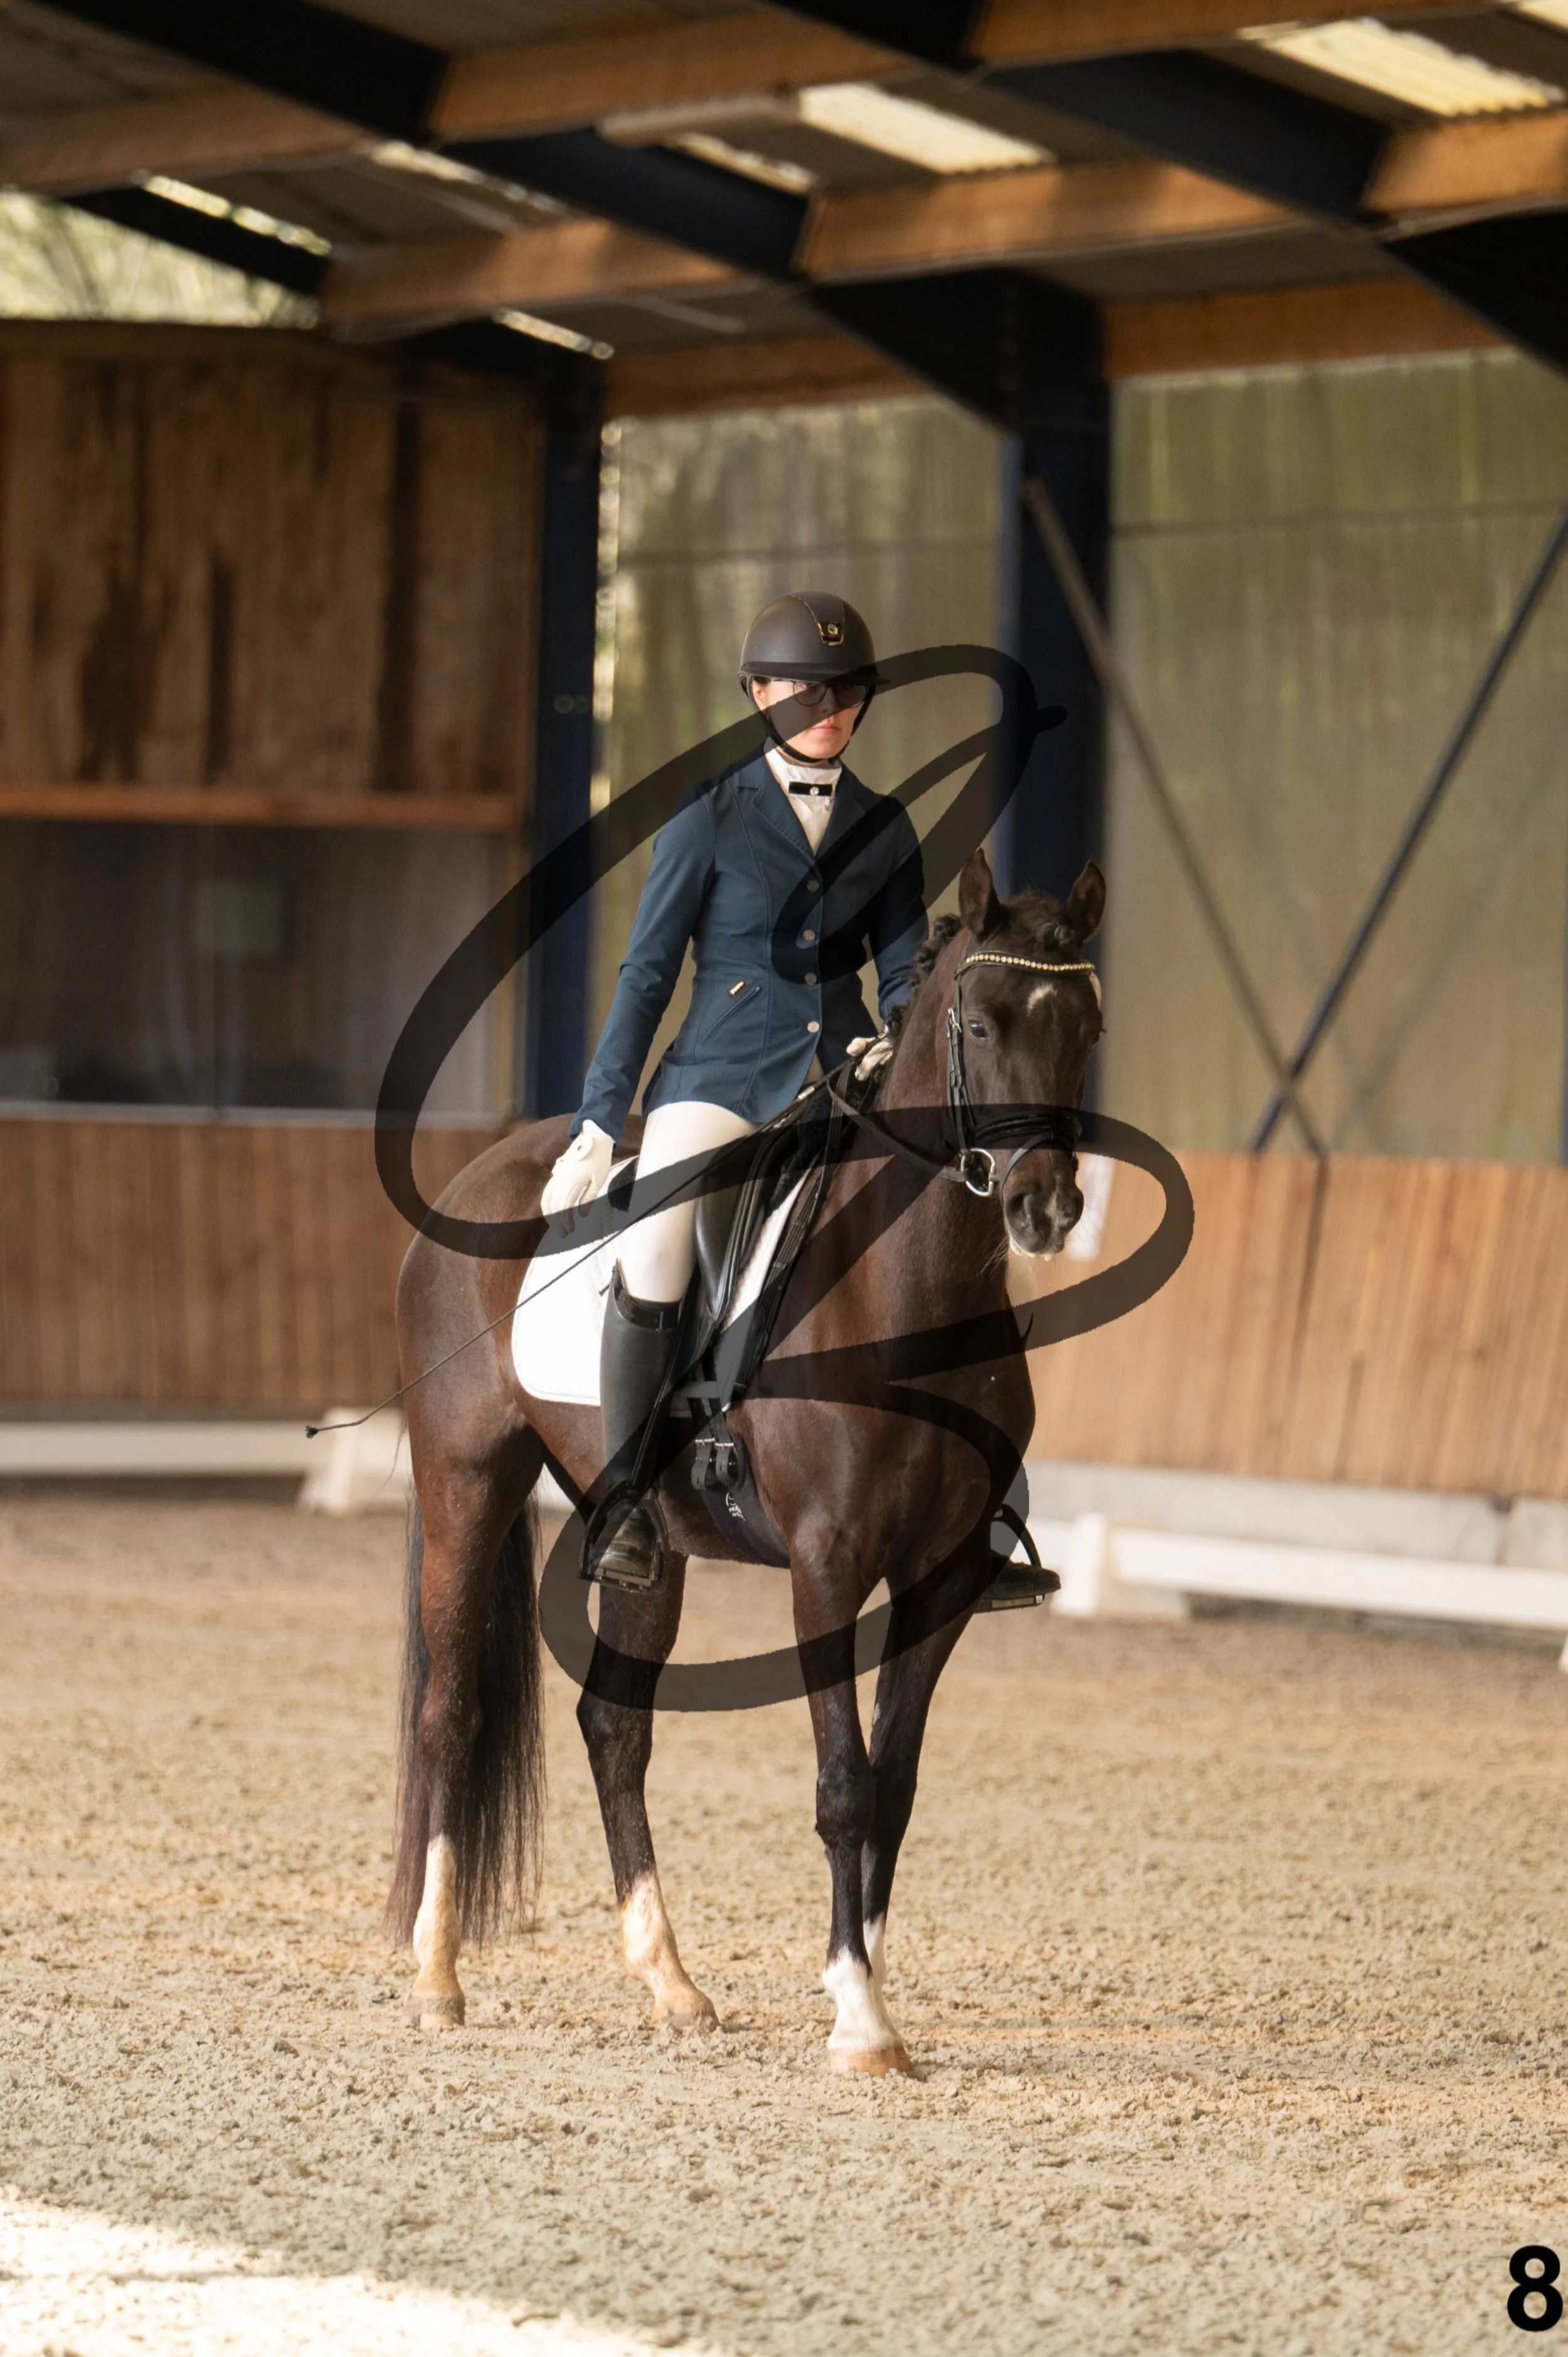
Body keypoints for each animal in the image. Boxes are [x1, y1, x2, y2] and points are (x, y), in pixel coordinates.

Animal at [389, 845, 1105, 2075]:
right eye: (982, 1022)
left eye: (1089, 1027)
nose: (1044, 1208)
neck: (910, 1289)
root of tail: (486, 1172)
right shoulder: (826, 1567)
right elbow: (842, 1782)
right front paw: (859, 2014)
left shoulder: (944, 1580)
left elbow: (894, 1782)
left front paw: (863, 1982)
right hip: (467, 1481)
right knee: (452, 1713)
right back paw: (439, 1976)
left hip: (650, 1542)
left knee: (615, 1730)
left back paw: (671, 1981)